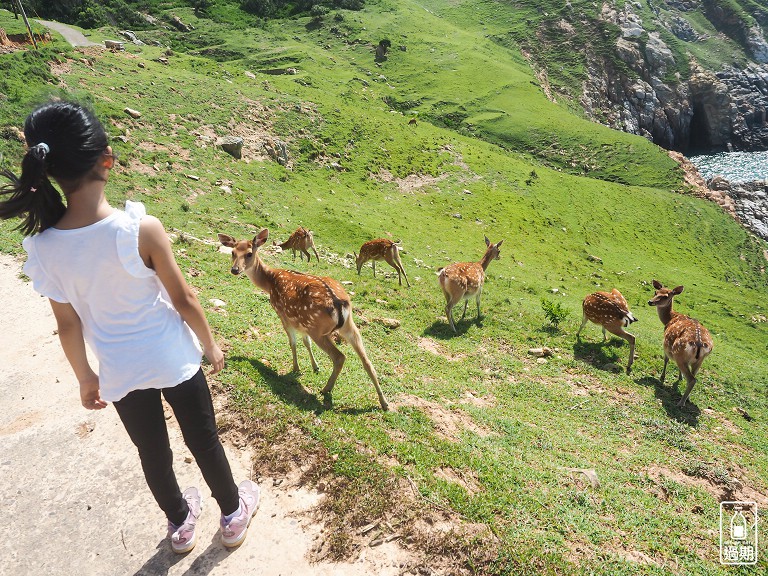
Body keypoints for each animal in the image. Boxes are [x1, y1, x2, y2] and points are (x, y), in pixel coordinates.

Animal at [220, 228, 390, 410]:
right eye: (232, 252)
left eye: (249, 253)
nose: (235, 269)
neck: (269, 283)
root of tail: (341, 304)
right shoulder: (301, 322)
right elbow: (306, 342)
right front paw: (315, 367)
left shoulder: (283, 315)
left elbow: (293, 343)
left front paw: (296, 368)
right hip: (348, 326)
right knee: (367, 362)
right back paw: (384, 402)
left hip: (318, 329)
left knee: (340, 357)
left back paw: (326, 389)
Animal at [648, 280, 712, 408]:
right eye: (656, 292)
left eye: (665, 296)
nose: (650, 302)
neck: (670, 318)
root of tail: (699, 344)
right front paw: (679, 378)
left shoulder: (666, 344)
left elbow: (666, 359)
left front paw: (662, 377)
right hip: (699, 360)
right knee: (693, 376)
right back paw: (687, 397)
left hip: (679, 352)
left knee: (692, 379)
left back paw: (680, 403)